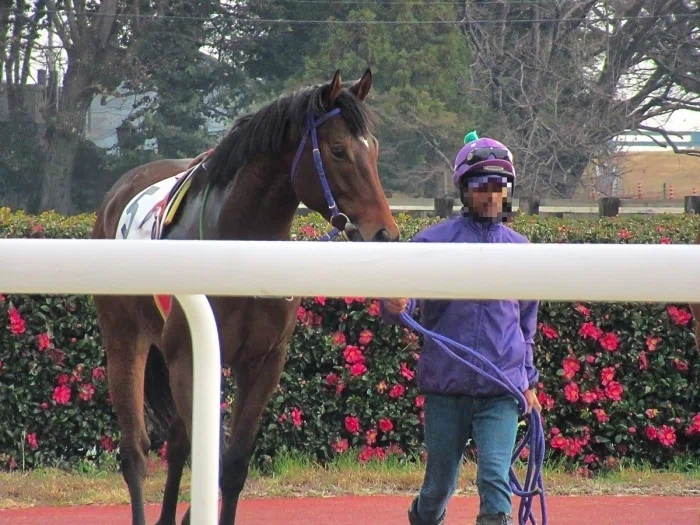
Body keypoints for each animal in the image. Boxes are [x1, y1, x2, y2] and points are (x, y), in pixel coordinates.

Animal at [91, 69, 399, 525]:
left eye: (374, 148)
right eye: (339, 150)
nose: (385, 233)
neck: (238, 244)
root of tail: (117, 194)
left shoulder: (263, 361)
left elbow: (232, 465)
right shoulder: (189, 357)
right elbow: (207, 456)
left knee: (177, 443)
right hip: (124, 337)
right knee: (135, 453)